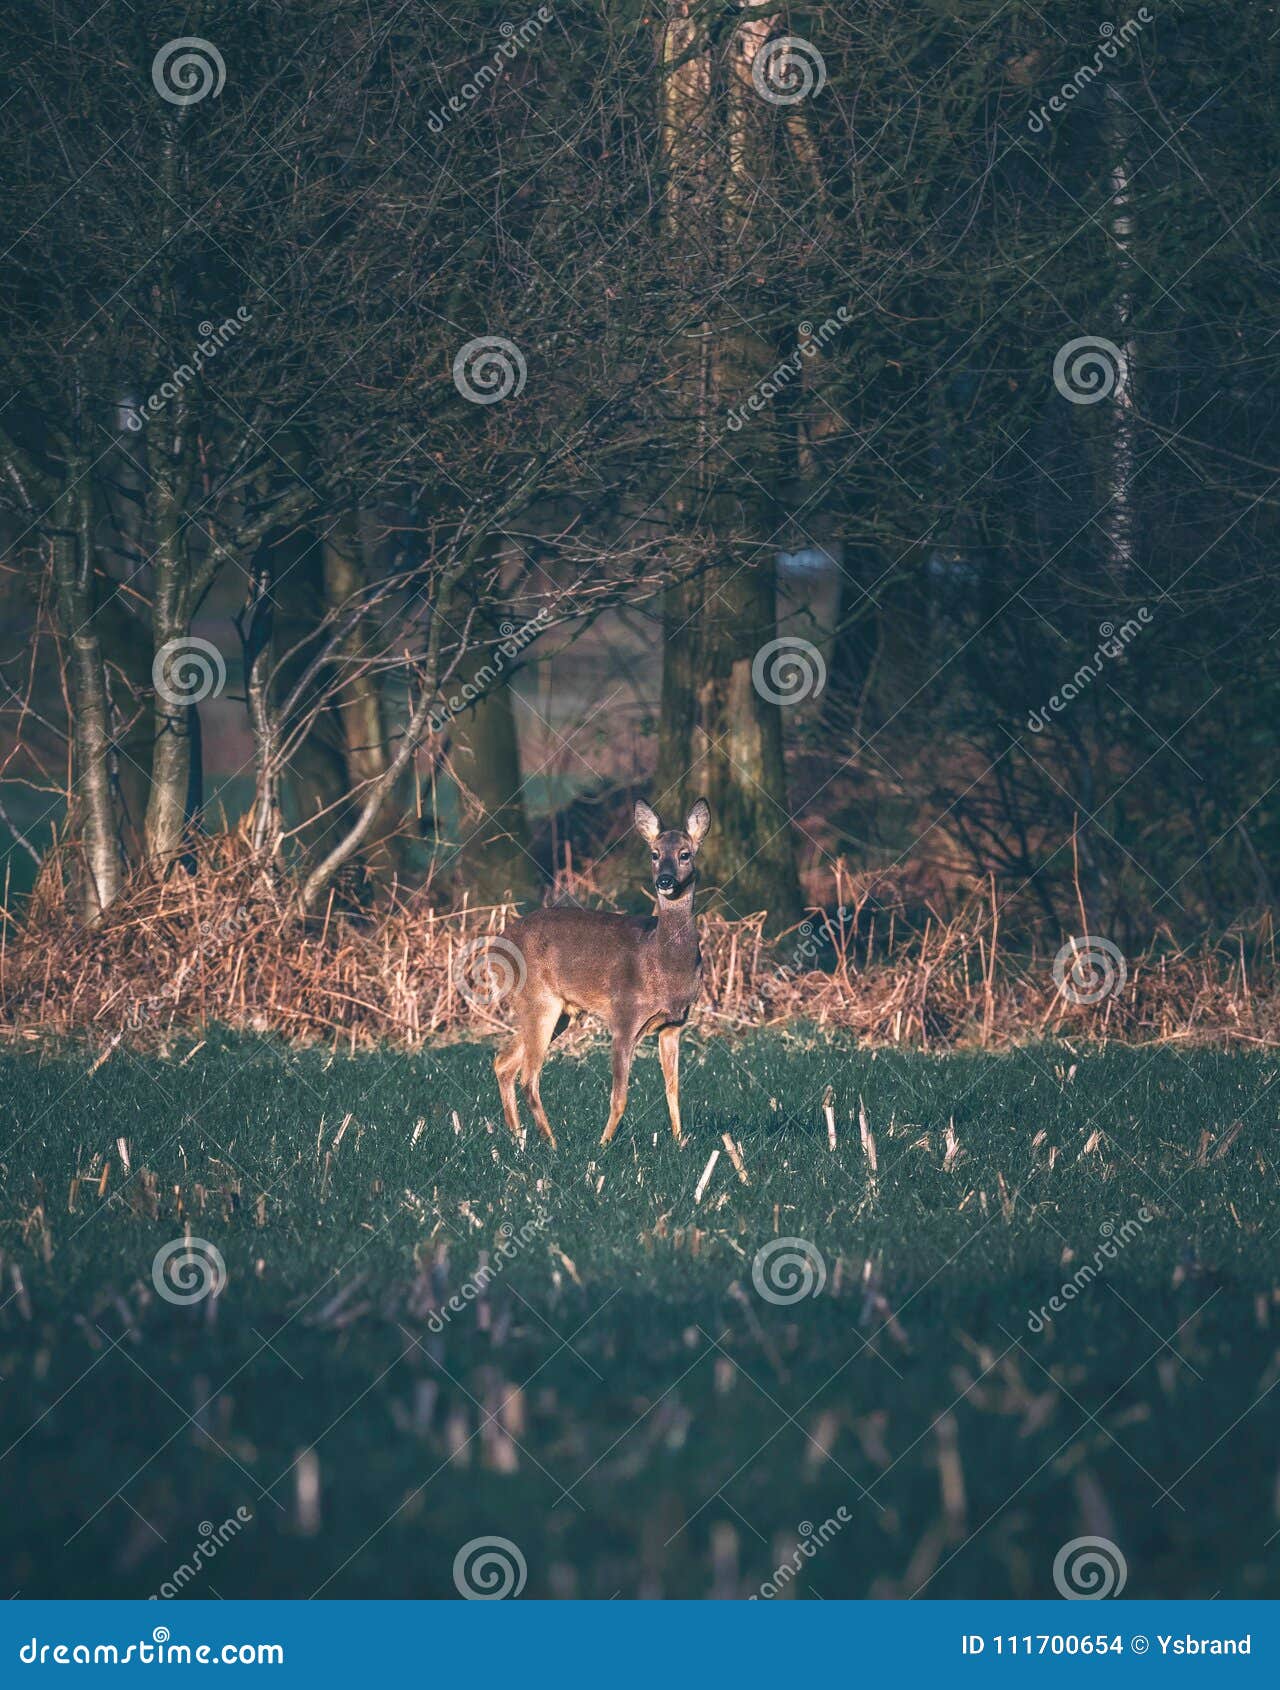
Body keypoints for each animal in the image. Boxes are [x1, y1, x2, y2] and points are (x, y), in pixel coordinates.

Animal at [490, 794, 710, 1149]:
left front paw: (679, 1142)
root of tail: (493, 950)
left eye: (685, 853)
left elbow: (674, 1090)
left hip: (558, 1013)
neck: (663, 962)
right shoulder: (624, 1017)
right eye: (654, 854)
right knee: (528, 1077)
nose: (664, 881)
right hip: (538, 1002)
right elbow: (619, 1096)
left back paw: (518, 1142)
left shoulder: (674, 1024)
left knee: (503, 1063)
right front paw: (604, 1146)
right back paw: (552, 1145)